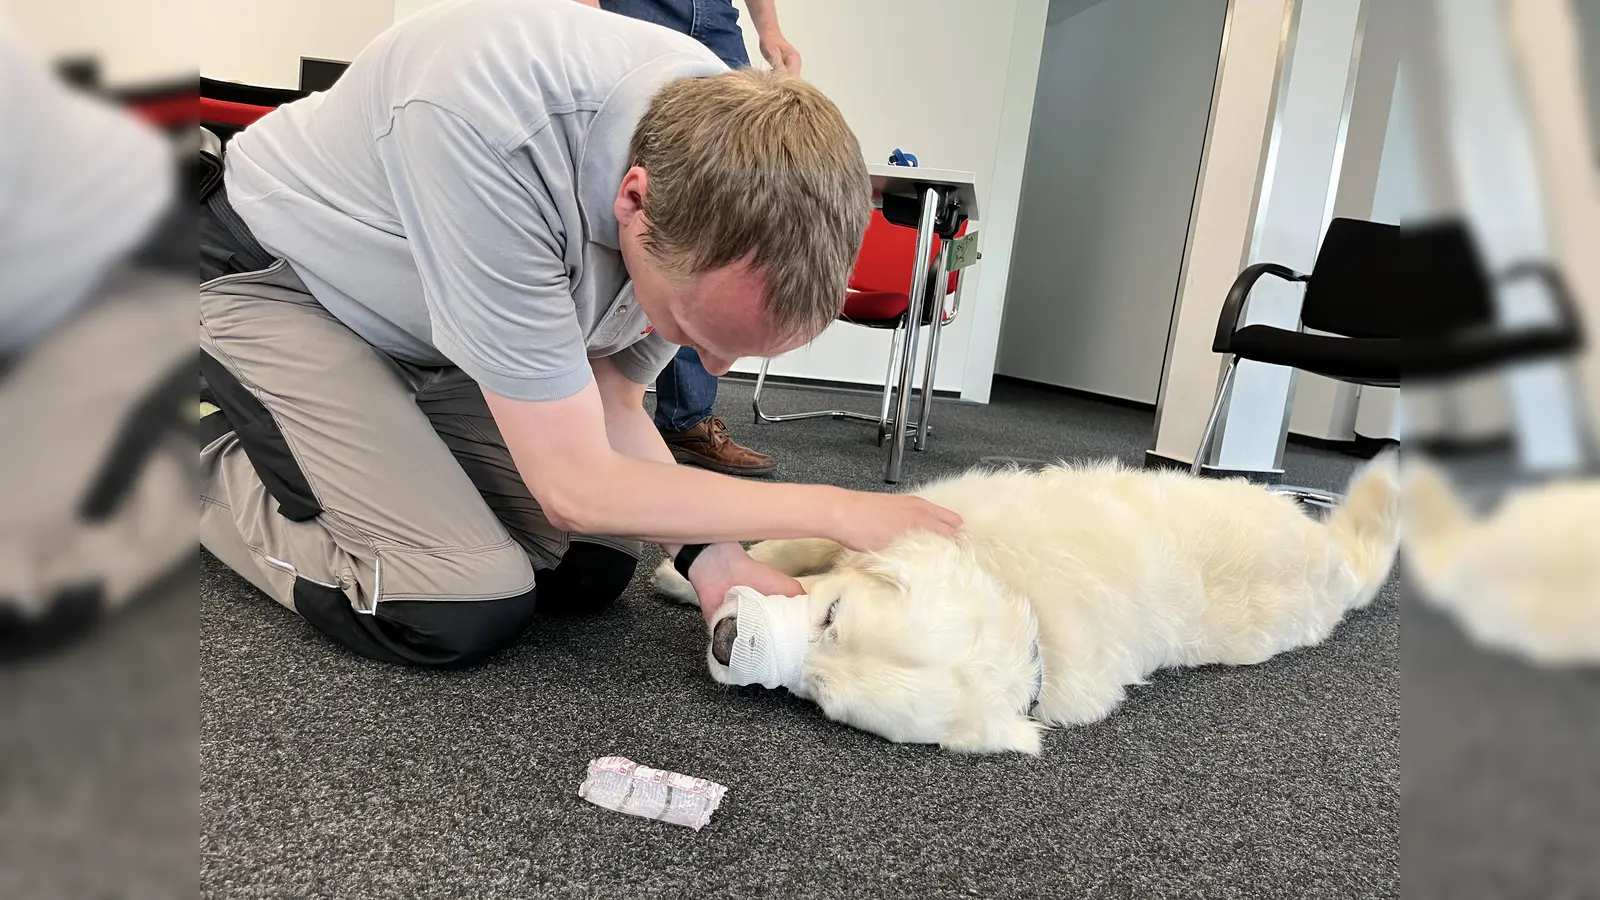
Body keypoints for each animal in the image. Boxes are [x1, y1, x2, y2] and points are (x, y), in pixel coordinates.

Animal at [652, 451, 1401, 752]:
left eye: (820, 697)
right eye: (831, 616)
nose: (725, 641)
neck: (1021, 594)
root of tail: (1338, 567)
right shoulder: (910, 511)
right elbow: (792, 541)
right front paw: (677, 575)